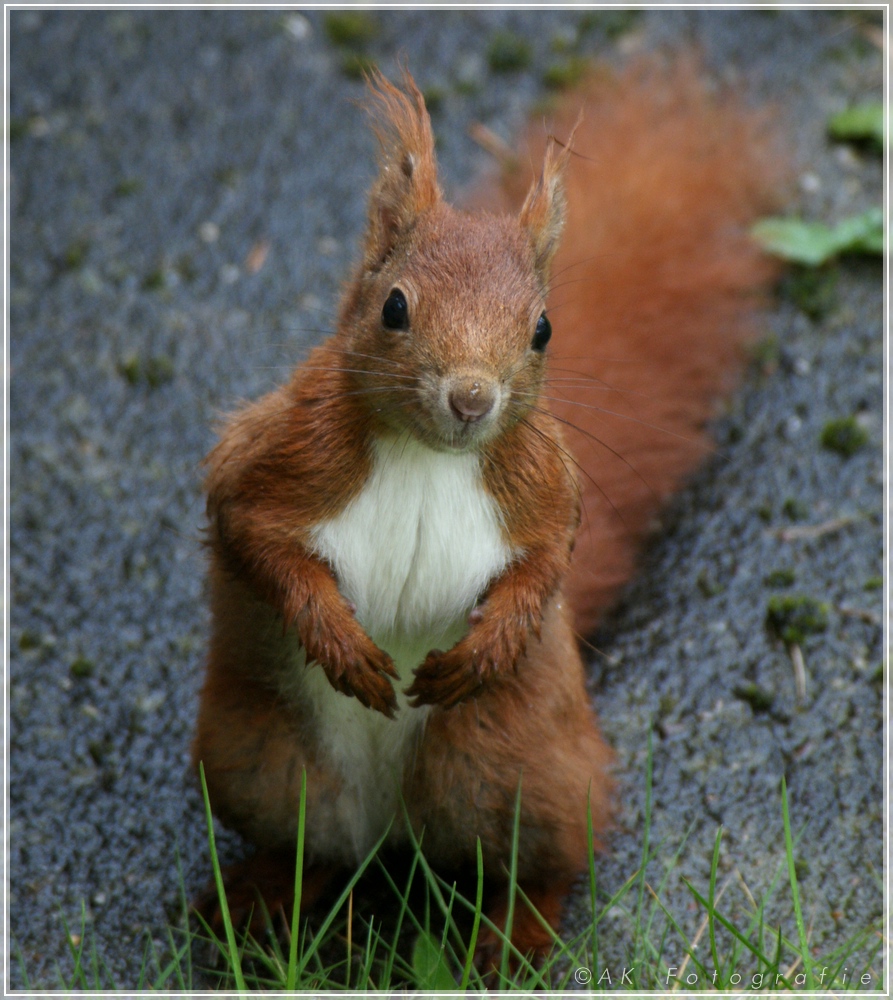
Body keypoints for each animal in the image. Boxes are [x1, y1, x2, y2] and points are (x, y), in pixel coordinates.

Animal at [193, 60, 780, 960]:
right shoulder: (271, 458)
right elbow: (256, 536)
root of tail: (389, 828)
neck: (426, 458)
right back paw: (253, 903)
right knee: (315, 852)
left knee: (552, 859)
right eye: (394, 307)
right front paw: (339, 643)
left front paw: (490, 644)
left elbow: (544, 564)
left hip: (507, 766)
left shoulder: (544, 489)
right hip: (257, 761)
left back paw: (511, 936)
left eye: (542, 329)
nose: (471, 398)